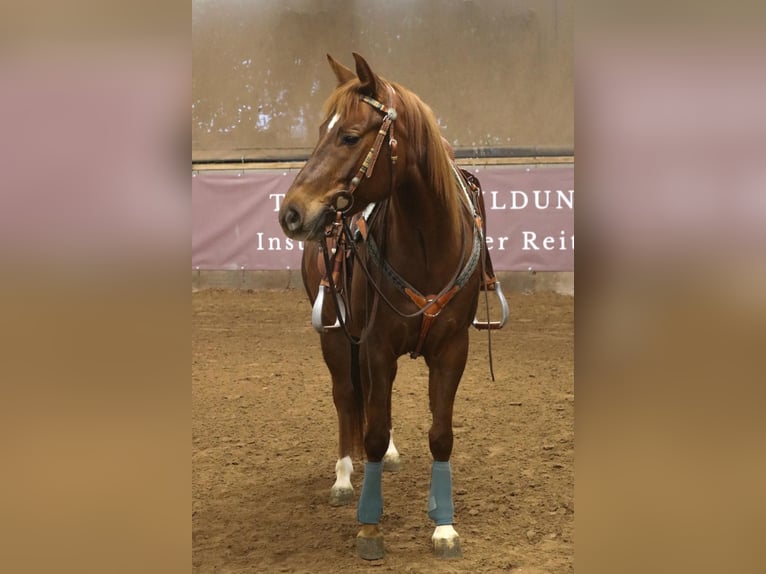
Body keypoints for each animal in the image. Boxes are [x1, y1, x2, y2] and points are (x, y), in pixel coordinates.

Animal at [278, 53, 507, 560]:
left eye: (348, 135)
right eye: (321, 129)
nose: (291, 213)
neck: (427, 244)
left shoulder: (451, 350)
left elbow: (439, 434)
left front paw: (444, 526)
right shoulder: (376, 345)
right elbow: (373, 429)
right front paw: (369, 526)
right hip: (336, 337)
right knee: (347, 398)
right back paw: (345, 477)